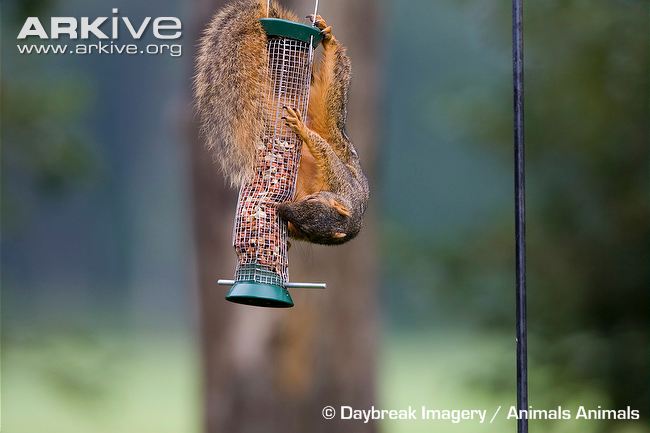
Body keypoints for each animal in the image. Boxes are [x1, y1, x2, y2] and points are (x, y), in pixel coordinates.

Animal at [194, 0, 369, 245]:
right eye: (313, 200)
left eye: (306, 230)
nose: (283, 211)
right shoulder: (342, 180)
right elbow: (325, 152)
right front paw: (303, 130)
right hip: (332, 98)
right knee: (336, 67)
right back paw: (328, 38)